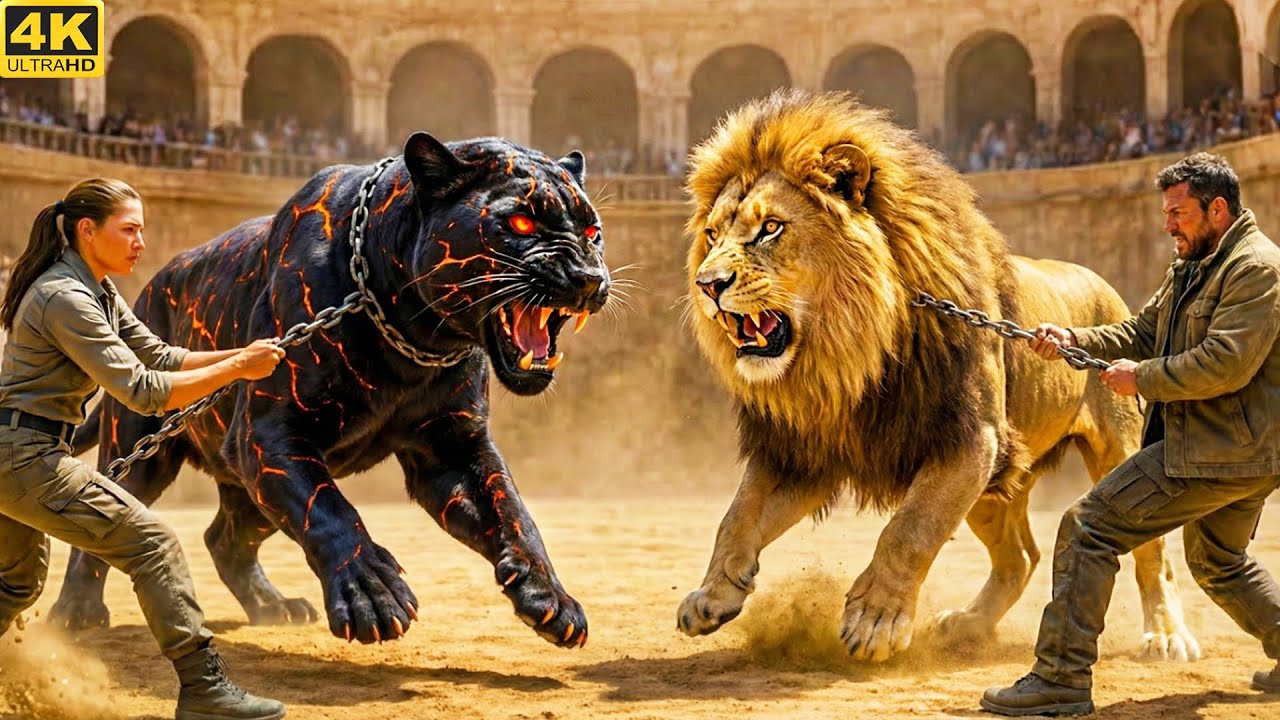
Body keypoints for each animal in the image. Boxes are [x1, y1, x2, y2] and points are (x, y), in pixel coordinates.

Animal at [676, 89, 1200, 663]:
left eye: (770, 228)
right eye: (712, 234)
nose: (707, 285)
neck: (848, 357)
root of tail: (1098, 279)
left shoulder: (970, 440)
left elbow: (910, 530)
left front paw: (876, 621)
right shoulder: (803, 450)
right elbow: (737, 515)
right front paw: (712, 596)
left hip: (1114, 448)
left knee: (1152, 553)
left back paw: (1166, 634)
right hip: (996, 490)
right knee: (1020, 558)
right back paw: (968, 624)